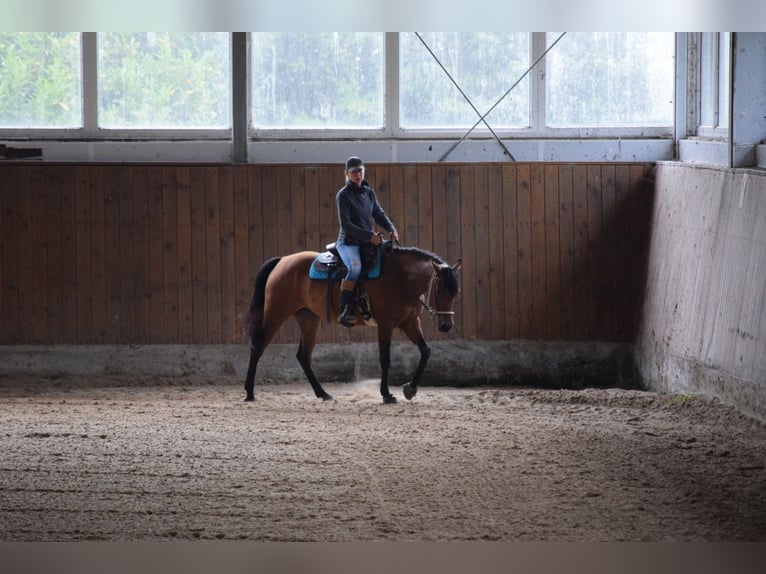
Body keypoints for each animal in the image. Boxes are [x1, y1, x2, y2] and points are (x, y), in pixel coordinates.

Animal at [243, 243, 461, 404]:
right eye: (440, 289)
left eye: (455, 292)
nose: (446, 326)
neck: (400, 278)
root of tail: (282, 261)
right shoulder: (385, 324)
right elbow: (385, 359)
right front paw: (387, 394)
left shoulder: (410, 323)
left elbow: (426, 351)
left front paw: (410, 389)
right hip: (276, 313)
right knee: (258, 346)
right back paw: (249, 393)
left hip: (309, 319)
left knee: (303, 356)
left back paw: (323, 394)